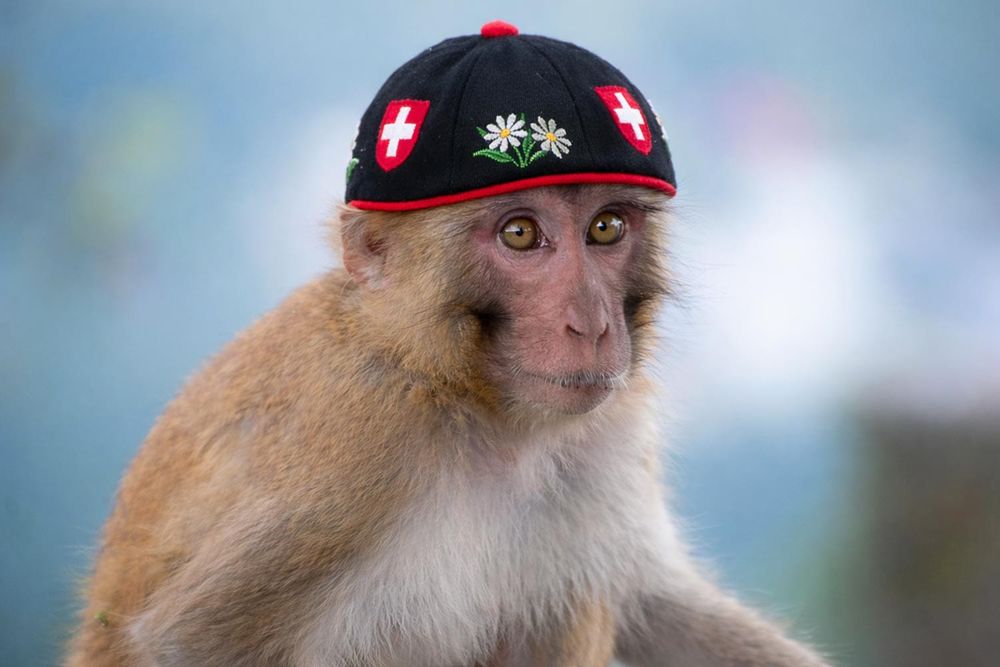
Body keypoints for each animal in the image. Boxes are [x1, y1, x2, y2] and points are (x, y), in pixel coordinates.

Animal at [66, 183, 831, 666]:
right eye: (520, 233)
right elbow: (191, 640)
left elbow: (654, 603)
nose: (591, 324)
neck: (471, 400)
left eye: (606, 227)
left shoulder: (609, 429)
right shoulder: (361, 443)